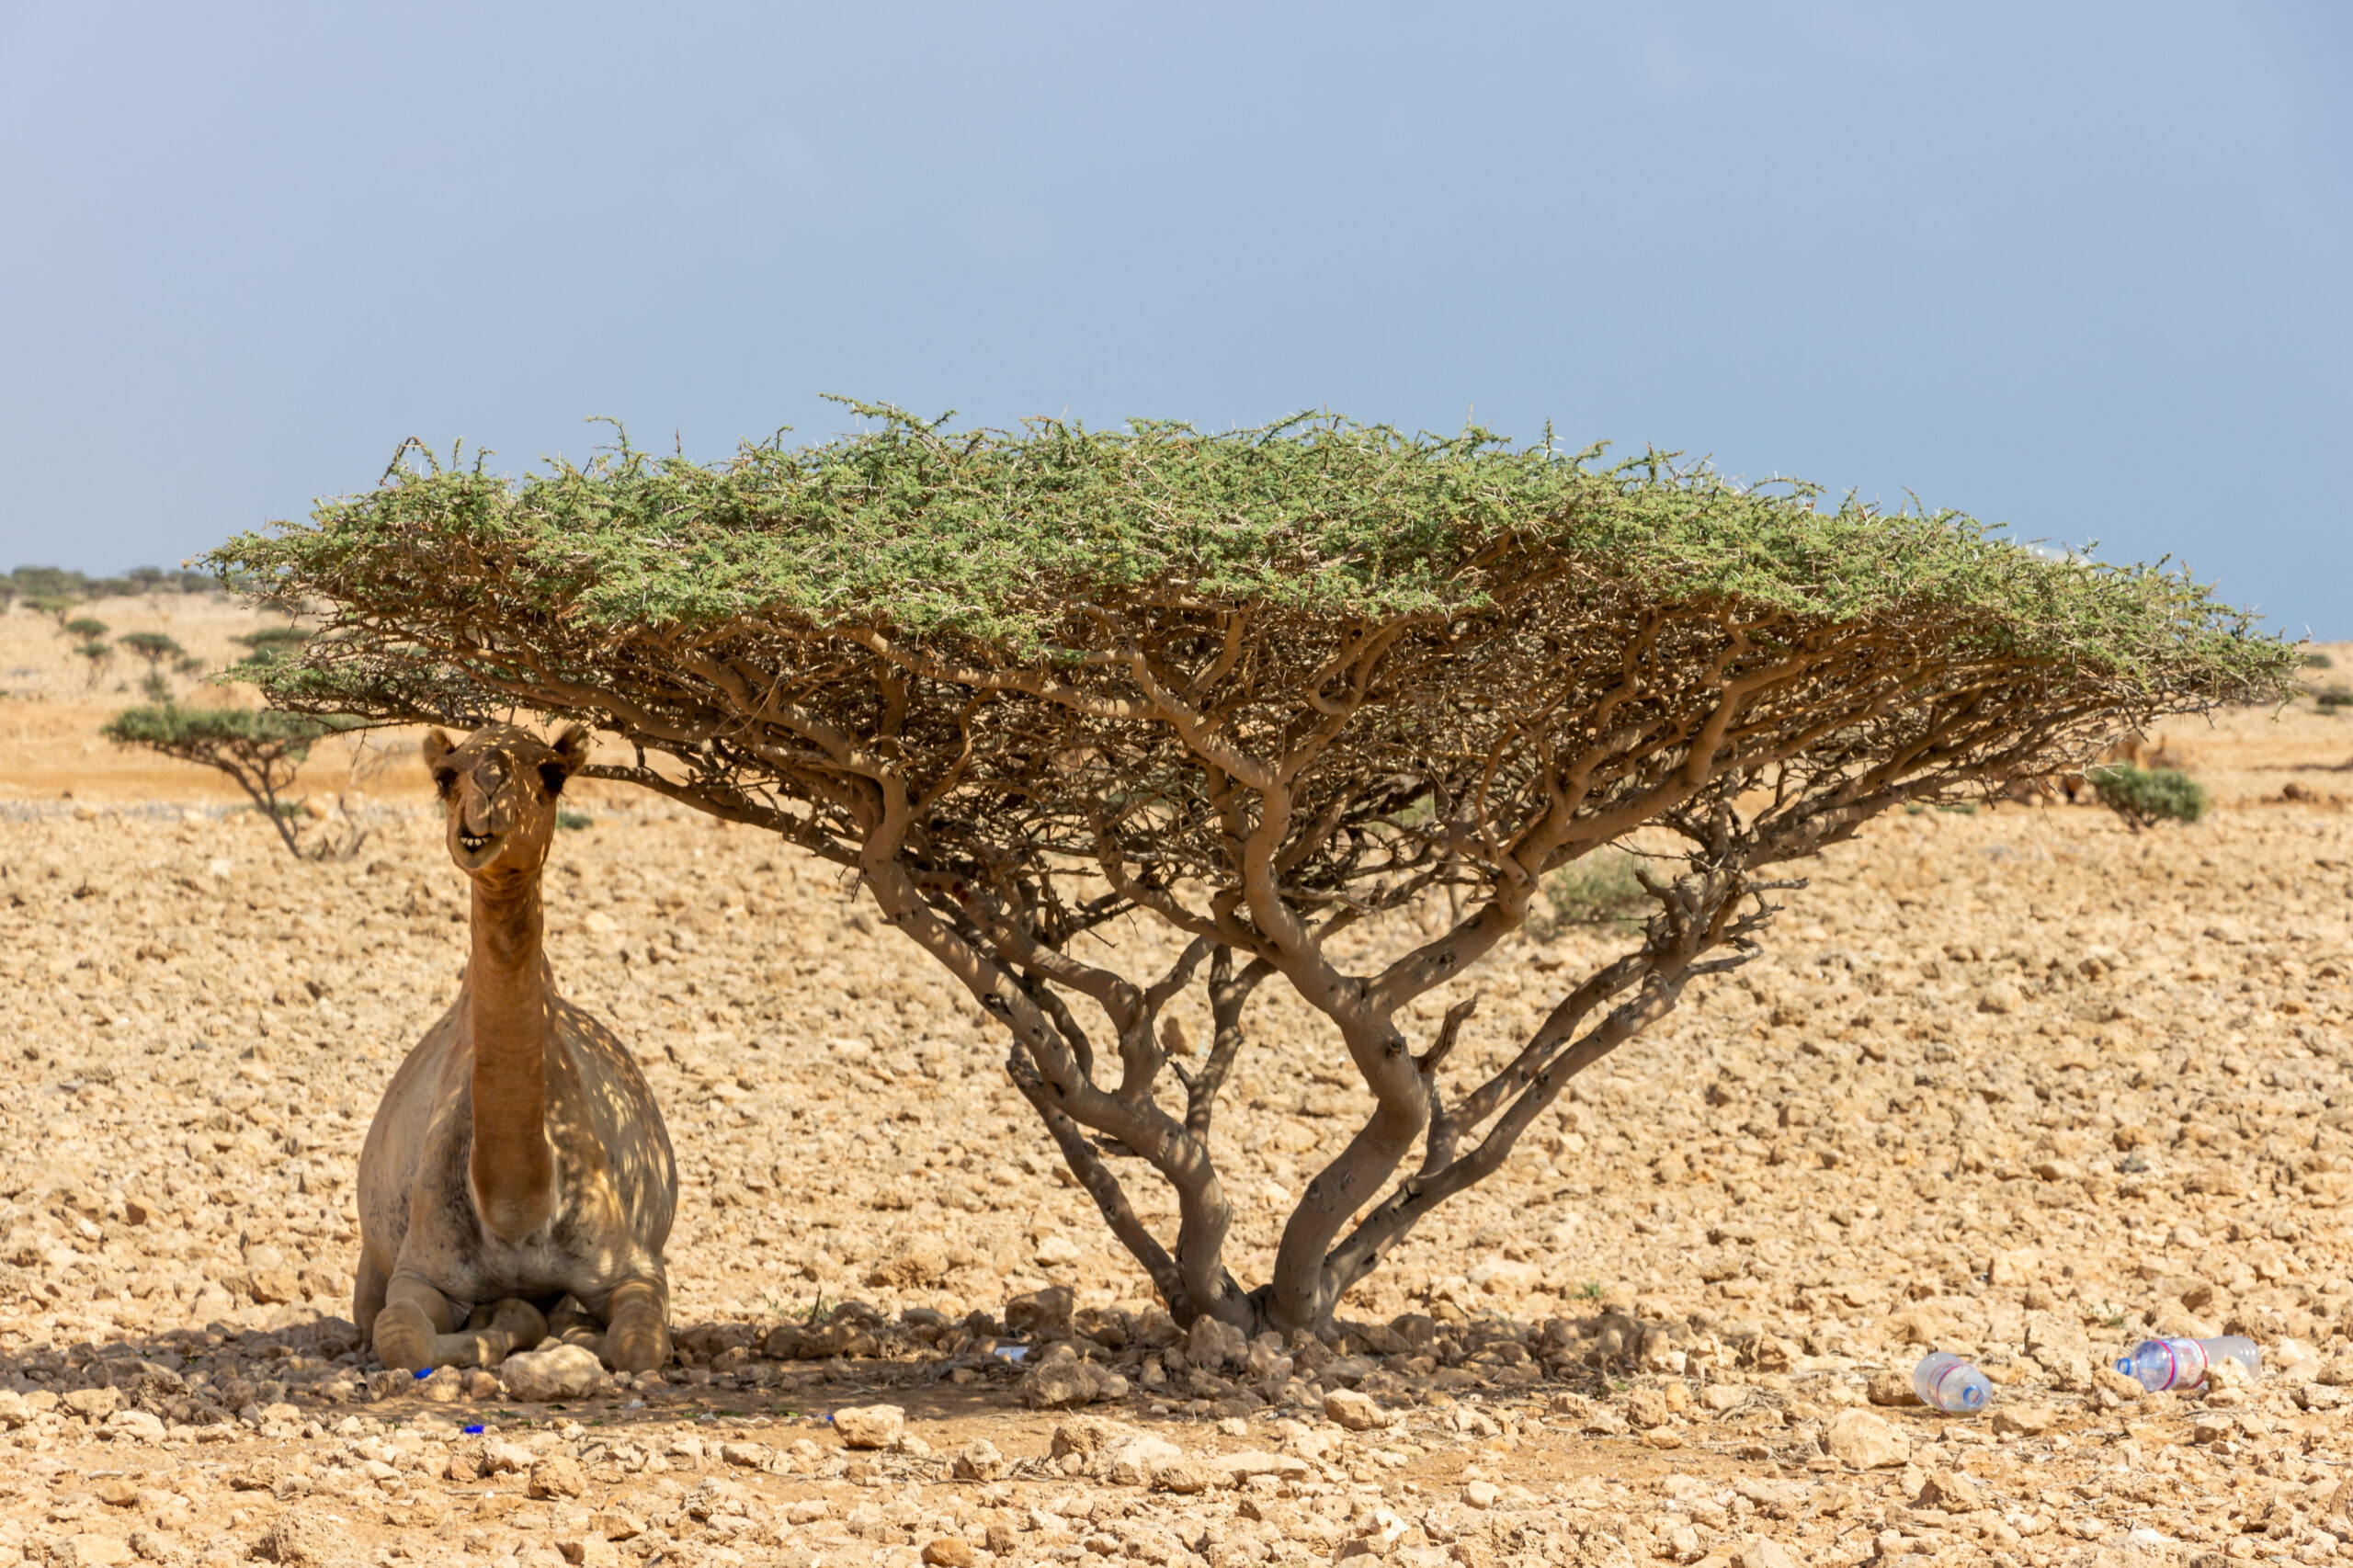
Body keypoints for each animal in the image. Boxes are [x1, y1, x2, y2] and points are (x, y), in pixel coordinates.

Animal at [355, 724, 682, 1365]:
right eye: (444, 777)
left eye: (552, 775)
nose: (486, 795)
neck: (514, 1212)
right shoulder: (422, 1269)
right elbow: (403, 1336)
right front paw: (506, 1325)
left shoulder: (631, 1265)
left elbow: (637, 1341)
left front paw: (566, 1334)